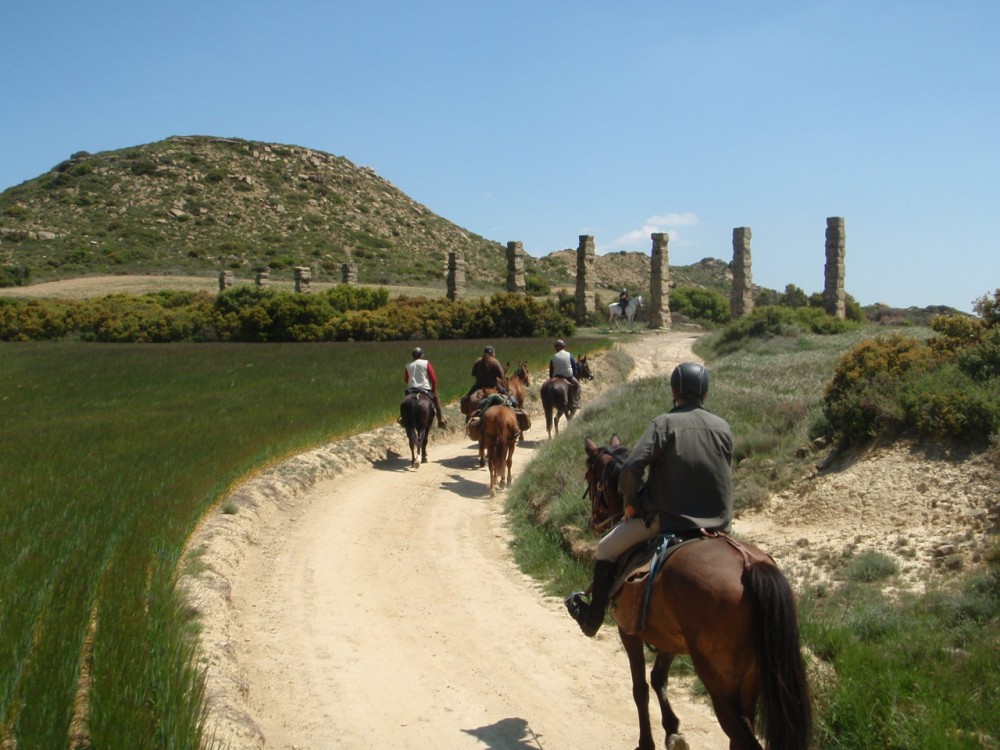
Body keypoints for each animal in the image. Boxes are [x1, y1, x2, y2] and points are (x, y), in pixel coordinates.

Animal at [580, 434, 812, 750]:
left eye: (589, 477)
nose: (594, 522)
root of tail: (749, 564)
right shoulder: (670, 637)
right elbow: (658, 677)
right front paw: (672, 730)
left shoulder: (628, 632)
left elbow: (640, 688)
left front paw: (646, 742)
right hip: (750, 679)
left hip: (718, 680)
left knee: (741, 734)